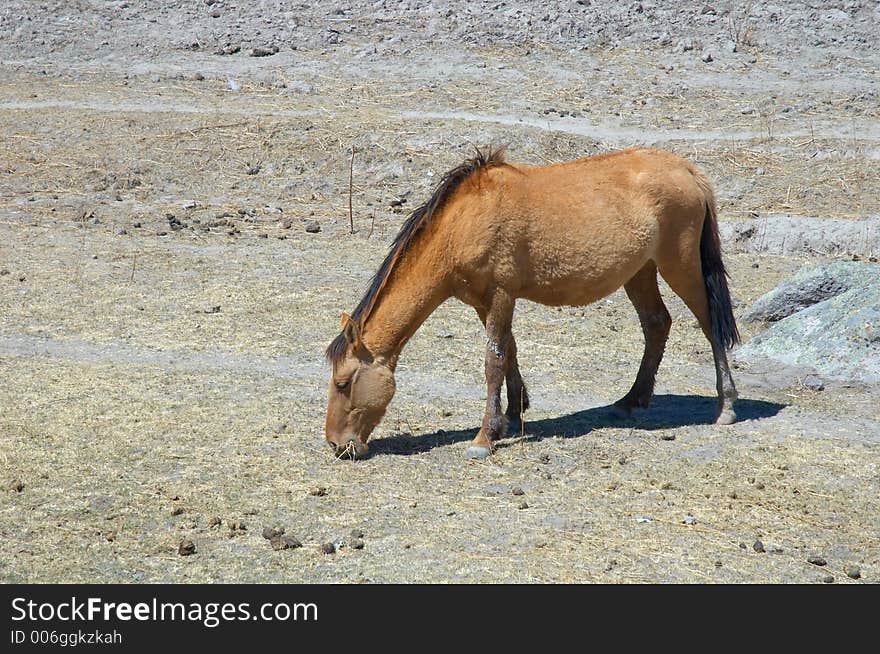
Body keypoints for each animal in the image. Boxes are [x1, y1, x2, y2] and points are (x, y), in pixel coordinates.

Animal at [324, 146, 736, 458]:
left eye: (343, 383)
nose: (337, 444)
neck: (463, 224)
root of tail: (687, 169)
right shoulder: (483, 302)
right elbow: (509, 351)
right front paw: (511, 413)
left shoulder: (500, 295)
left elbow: (493, 361)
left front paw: (484, 437)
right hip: (641, 272)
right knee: (656, 324)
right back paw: (631, 401)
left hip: (679, 266)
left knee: (709, 325)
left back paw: (726, 406)